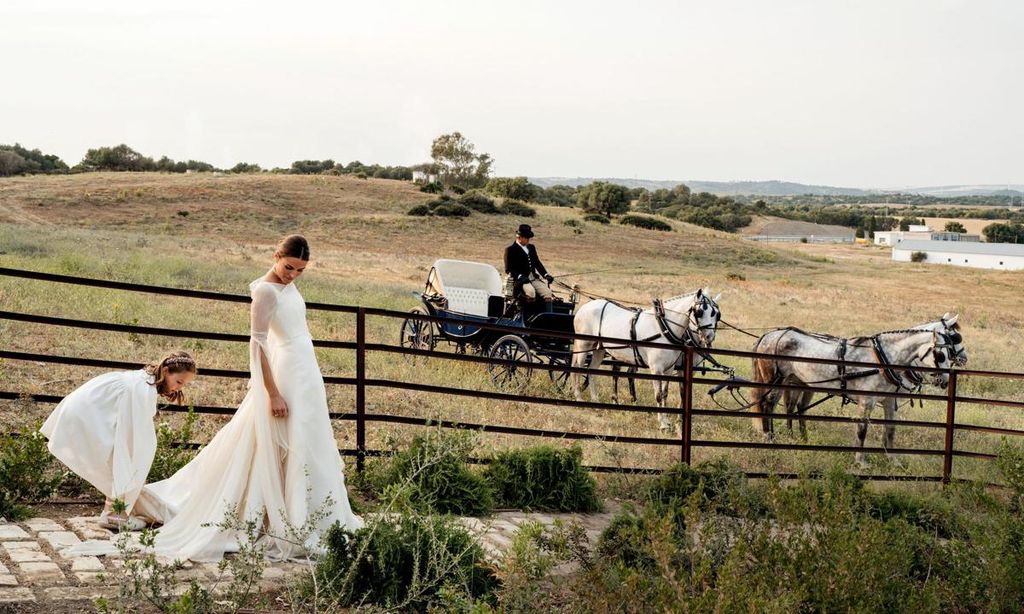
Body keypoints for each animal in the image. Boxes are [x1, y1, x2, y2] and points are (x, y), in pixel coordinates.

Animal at [577, 288, 720, 431]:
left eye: (716, 314)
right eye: (699, 312)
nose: (709, 336)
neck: (663, 328)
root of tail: (584, 307)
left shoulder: (669, 369)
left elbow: (666, 393)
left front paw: (669, 421)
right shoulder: (657, 369)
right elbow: (659, 395)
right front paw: (663, 424)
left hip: (599, 349)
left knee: (592, 372)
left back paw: (596, 401)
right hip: (584, 345)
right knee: (579, 369)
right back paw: (580, 397)